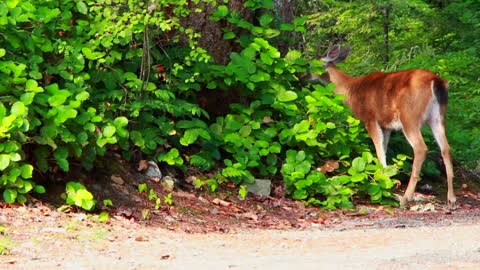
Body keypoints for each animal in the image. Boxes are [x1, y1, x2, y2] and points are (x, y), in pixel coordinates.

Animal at [318, 44, 458, 207]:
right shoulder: (386, 126)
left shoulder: (370, 119)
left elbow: (379, 151)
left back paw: (405, 198)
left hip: (409, 116)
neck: (350, 90)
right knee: (446, 148)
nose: (302, 75)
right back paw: (451, 197)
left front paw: (384, 184)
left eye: (310, 63)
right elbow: (383, 150)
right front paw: (384, 180)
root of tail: (436, 81)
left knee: (420, 148)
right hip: (437, 117)